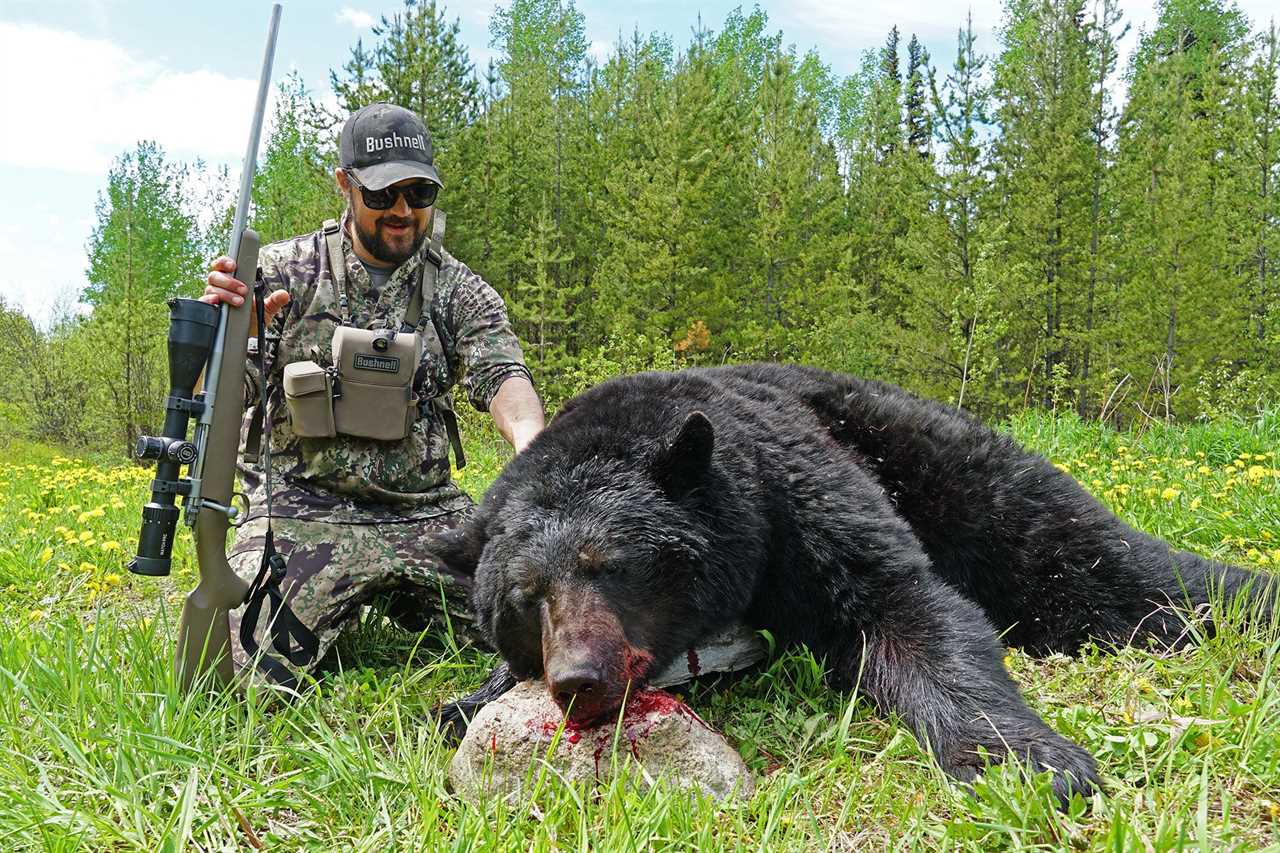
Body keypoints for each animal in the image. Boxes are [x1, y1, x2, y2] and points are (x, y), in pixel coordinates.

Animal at [435, 361, 1274, 804]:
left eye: (609, 565)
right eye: (525, 599)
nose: (578, 677)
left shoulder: (801, 498)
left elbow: (904, 607)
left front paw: (1024, 760)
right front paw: (466, 700)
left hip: (955, 476)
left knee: (1102, 567)